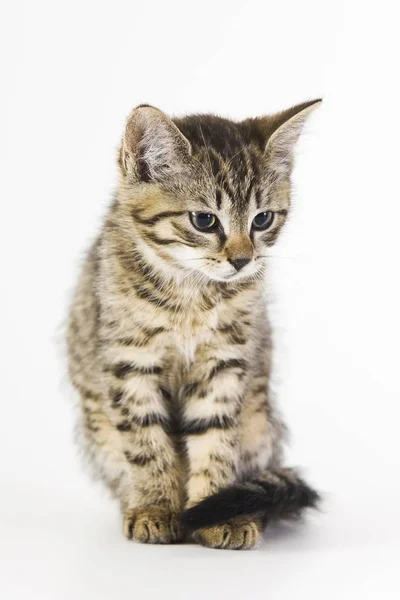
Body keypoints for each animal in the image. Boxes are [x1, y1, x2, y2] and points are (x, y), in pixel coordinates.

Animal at [67, 101, 320, 552]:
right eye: (205, 220)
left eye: (262, 219)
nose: (242, 260)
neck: (190, 295)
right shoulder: (128, 363)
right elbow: (146, 442)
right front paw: (155, 508)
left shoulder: (225, 364)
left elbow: (215, 438)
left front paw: (216, 512)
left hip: (260, 422)